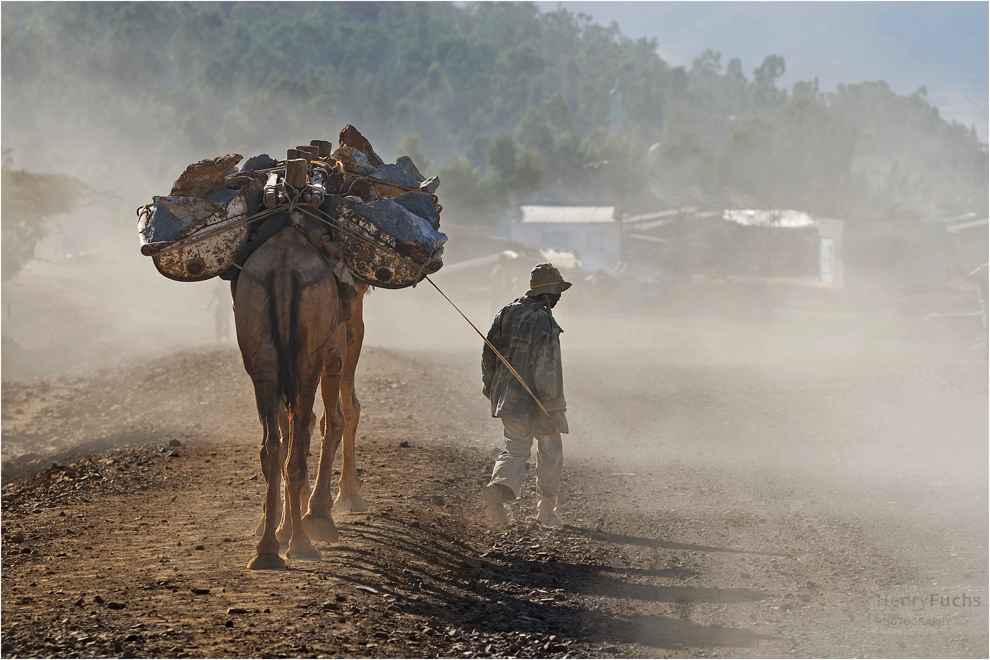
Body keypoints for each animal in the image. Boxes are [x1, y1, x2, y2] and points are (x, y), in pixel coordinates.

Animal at [235, 219, 368, 568]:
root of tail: (282, 269)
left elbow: (296, 429)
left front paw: (278, 524)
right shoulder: (340, 345)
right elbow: (339, 416)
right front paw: (332, 504)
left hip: (261, 354)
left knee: (272, 447)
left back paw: (268, 549)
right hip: (311, 356)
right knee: (307, 441)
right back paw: (303, 542)